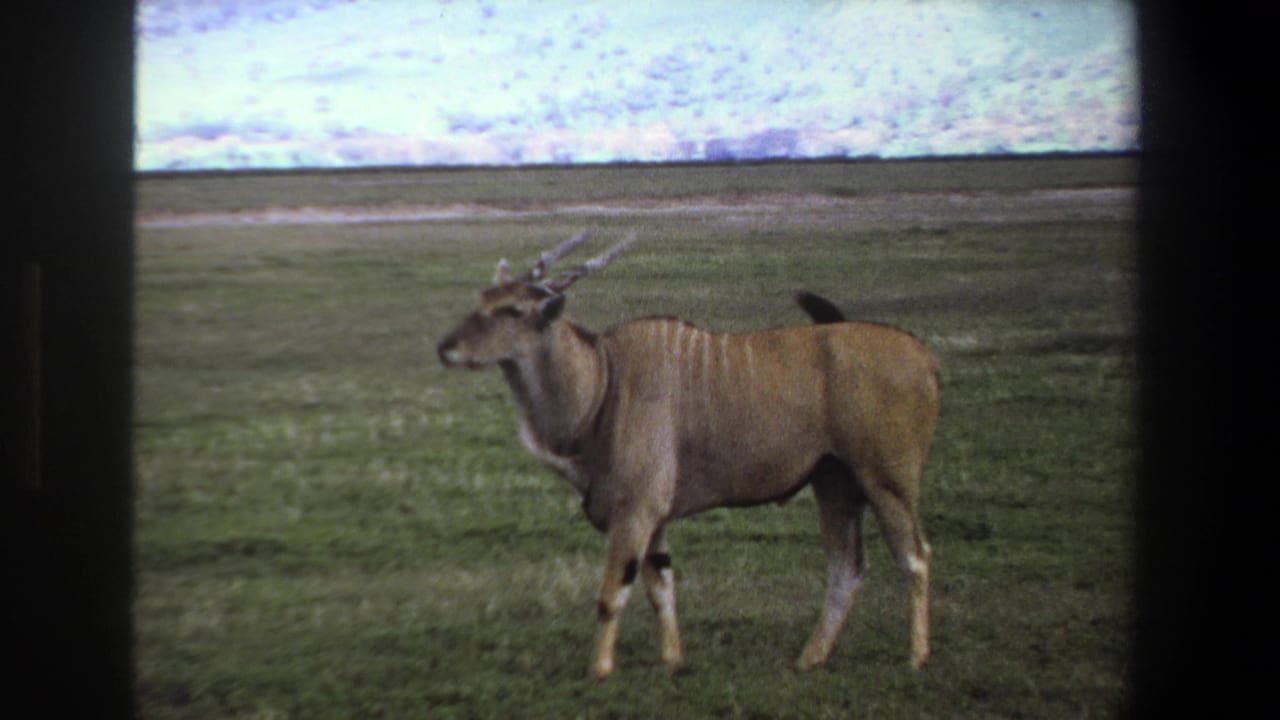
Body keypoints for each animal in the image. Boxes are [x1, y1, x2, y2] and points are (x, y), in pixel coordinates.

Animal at [436, 231, 940, 678]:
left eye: (513, 310)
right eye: (481, 298)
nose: (446, 348)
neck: (603, 382)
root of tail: (923, 356)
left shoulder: (635, 512)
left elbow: (611, 594)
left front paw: (599, 670)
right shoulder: (654, 519)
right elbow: (662, 588)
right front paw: (672, 662)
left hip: (886, 479)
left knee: (914, 556)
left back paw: (916, 657)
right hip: (834, 482)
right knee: (846, 568)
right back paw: (810, 658)